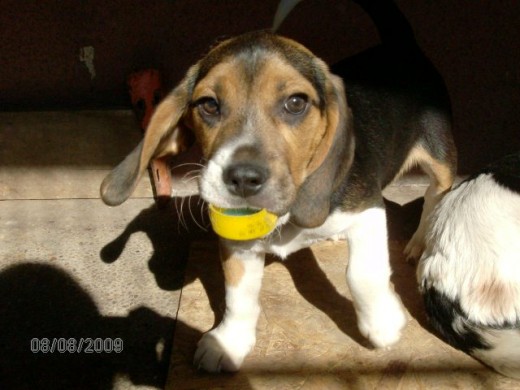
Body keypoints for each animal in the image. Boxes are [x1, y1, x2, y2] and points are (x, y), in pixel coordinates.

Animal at [100, 9, 456, 372]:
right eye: (208, 105)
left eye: (296, 103)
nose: (242, 178)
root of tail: (400, 45)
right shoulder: (237, 242)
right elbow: (238, 294)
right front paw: (229, 341)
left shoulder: (368, 210)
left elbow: (362, 272)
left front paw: (382, 322)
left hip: (441, 159)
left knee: (434, 197)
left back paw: (419, 242)